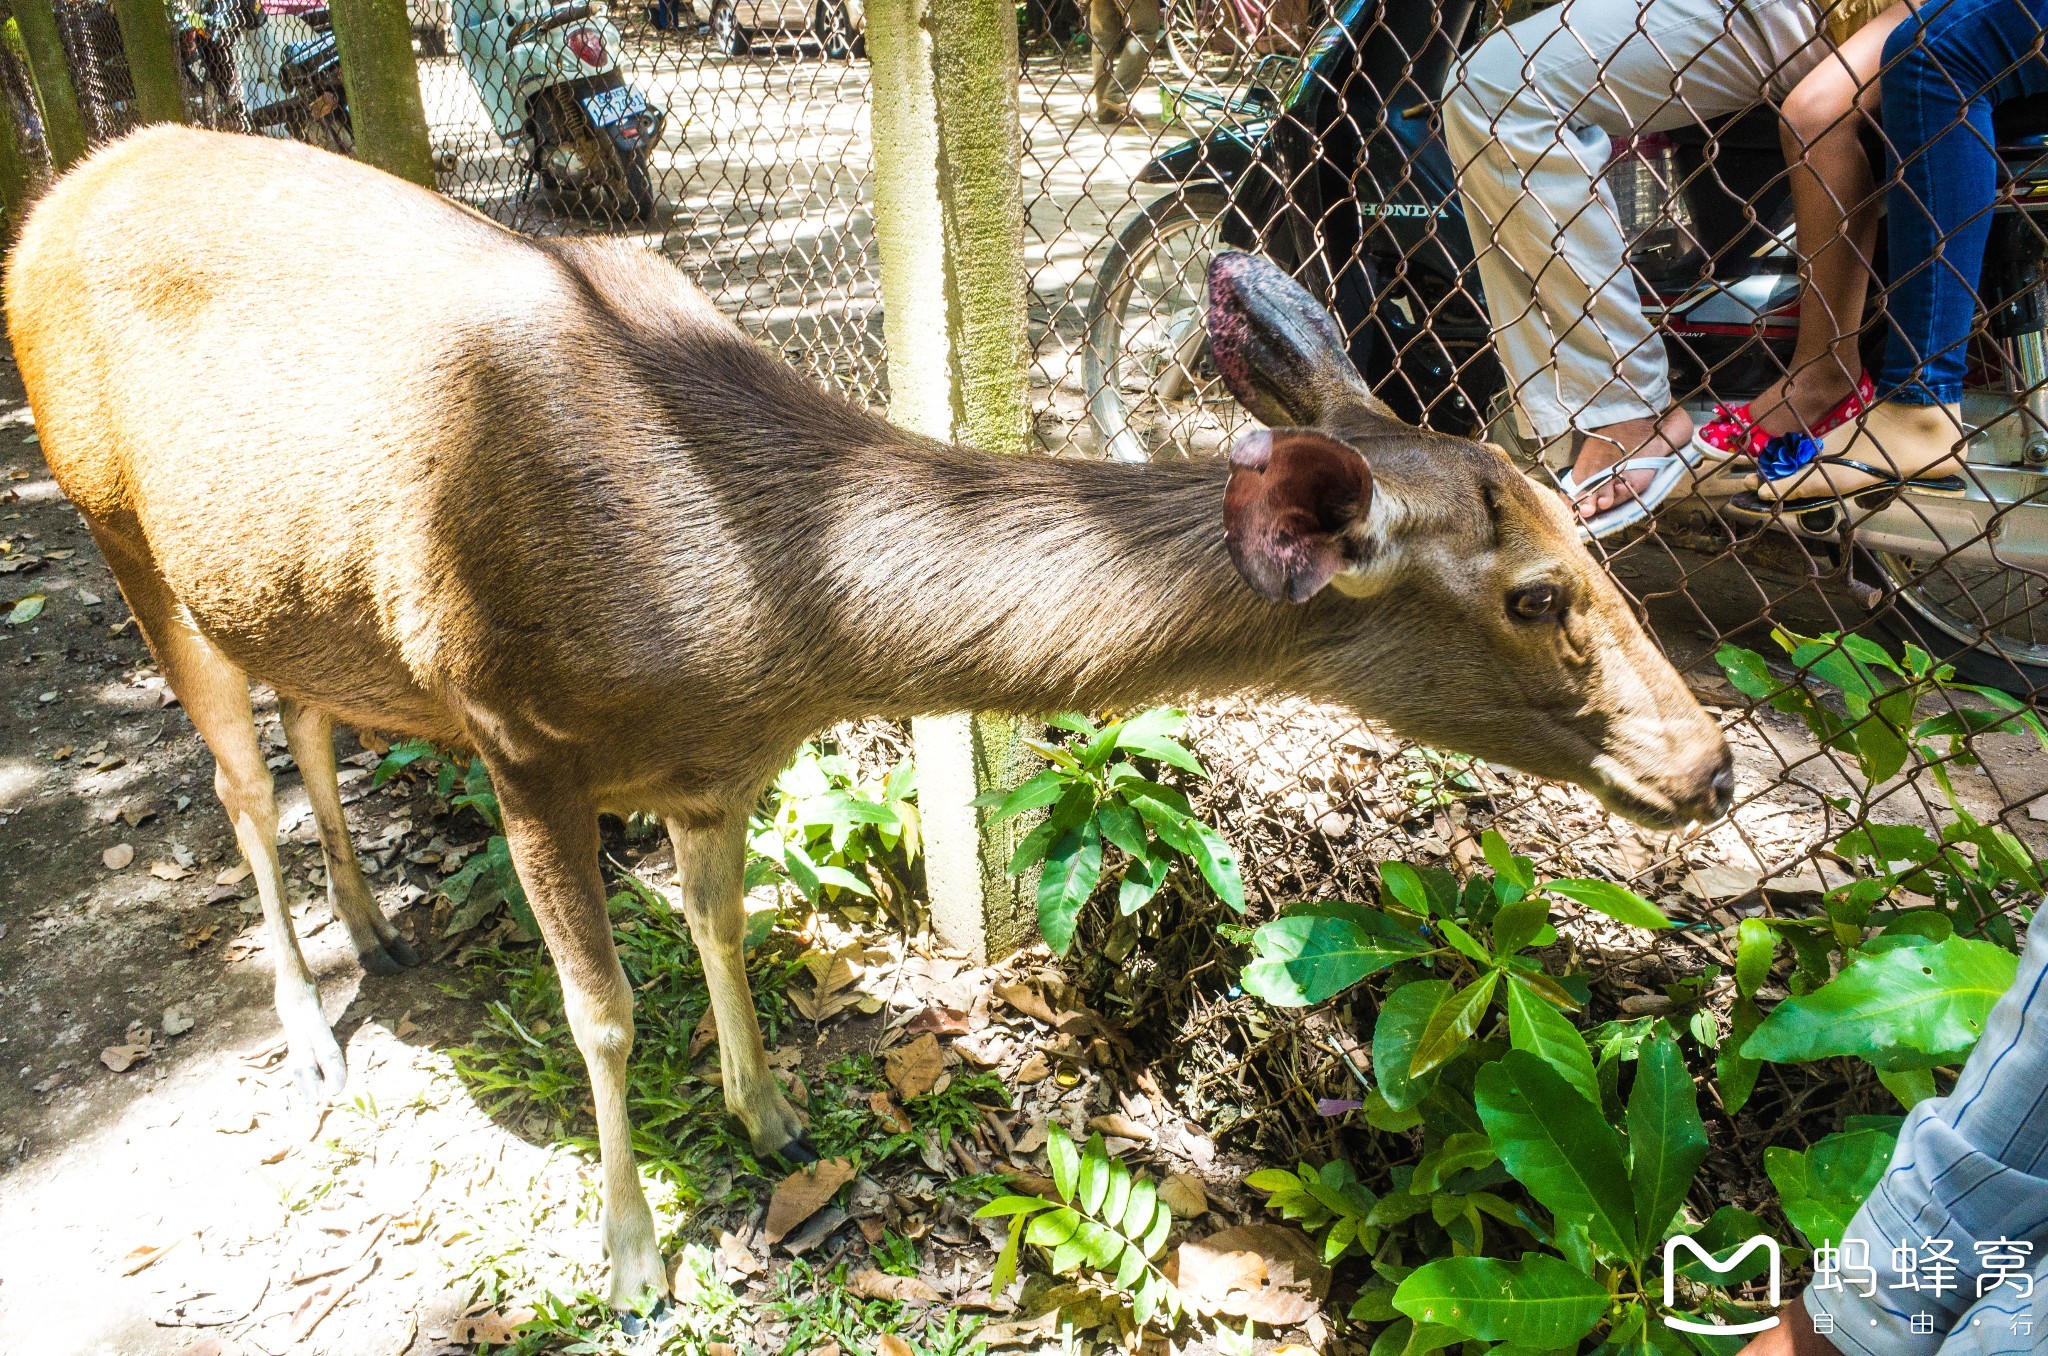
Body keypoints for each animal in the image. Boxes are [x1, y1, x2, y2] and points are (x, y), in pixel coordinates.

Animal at [8, 133, 1736, 1310]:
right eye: (1539, 593)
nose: (1711, 764)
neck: (754, 624)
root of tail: (60, 192)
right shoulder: (514, 726)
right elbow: (600, 1009)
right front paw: (632, 1259)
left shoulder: (719, 764)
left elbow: (717, 924)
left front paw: (768, 1115)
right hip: (119, 527)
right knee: (235, 781)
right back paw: (311, 1029)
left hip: (285, 588)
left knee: (309, 725)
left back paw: (378, 932)